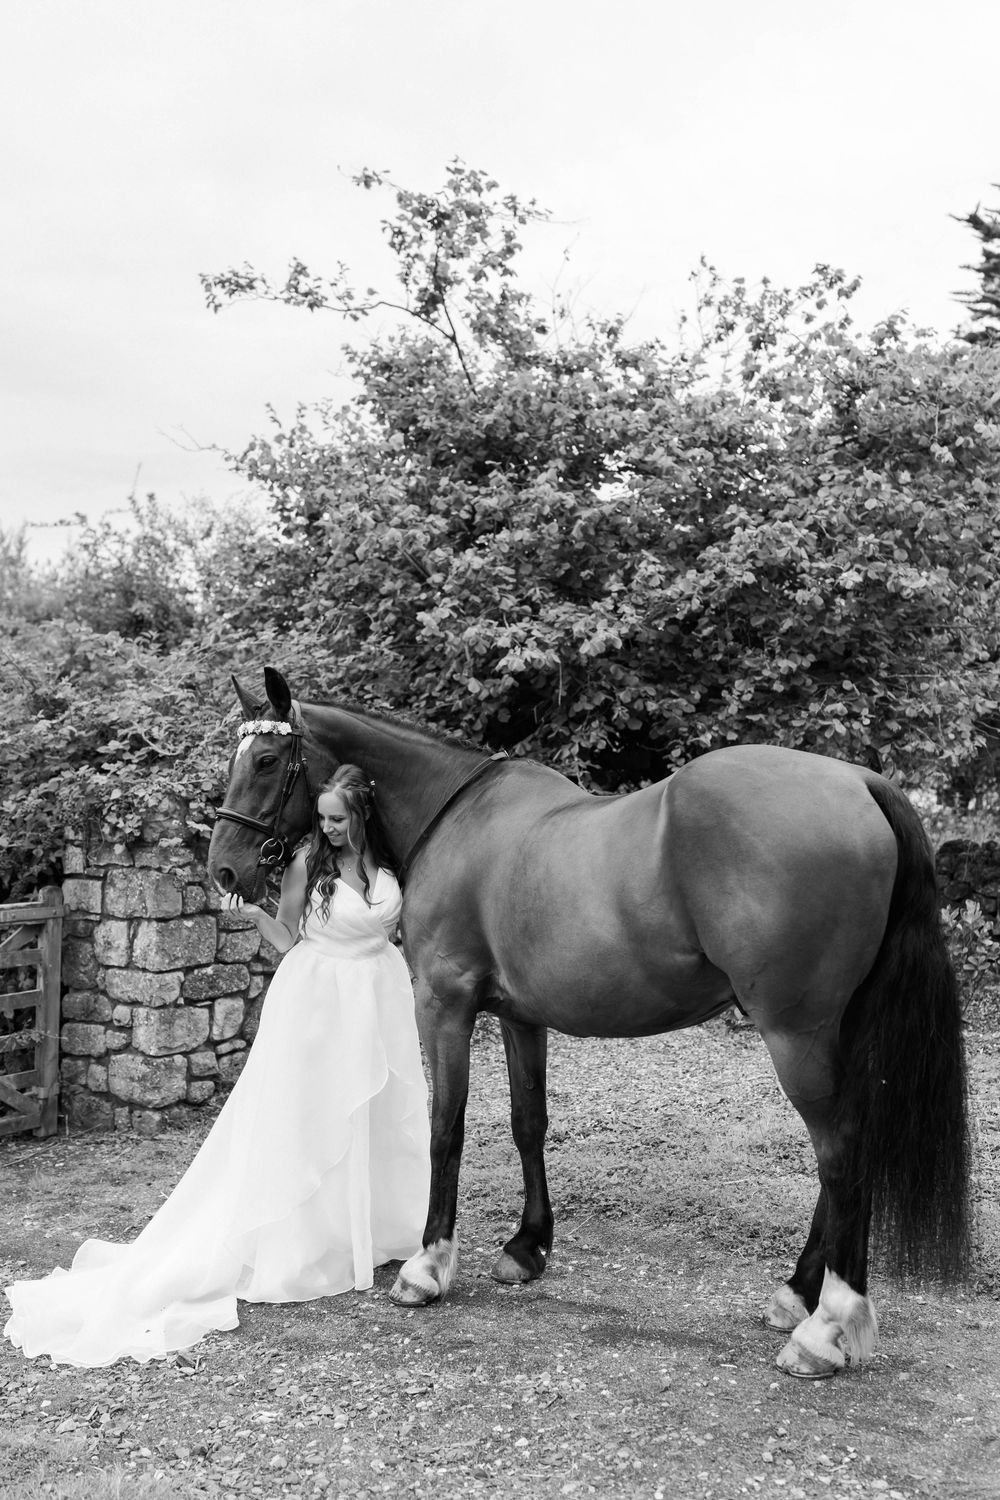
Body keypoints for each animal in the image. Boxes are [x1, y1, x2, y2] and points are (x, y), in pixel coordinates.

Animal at [208, 666, 971, 1379]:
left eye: (267, 761)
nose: (224, 870)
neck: (454, 816)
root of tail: (860, 783)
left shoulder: (445, 1005)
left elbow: (445, 1129)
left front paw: (426, 1267)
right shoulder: (520, 1017)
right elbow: (528, 1122)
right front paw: (527, 1248)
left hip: (796, 1033)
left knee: (840, 1154)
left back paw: (825, 1328)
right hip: (835, 1031)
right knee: (845, 1151)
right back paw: (797, 1296)